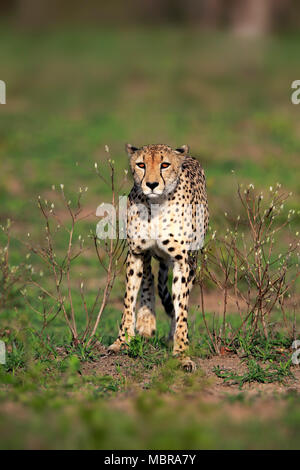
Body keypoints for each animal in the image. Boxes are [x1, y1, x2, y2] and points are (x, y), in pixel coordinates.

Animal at [108, 143, 209, 370]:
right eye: (141, 164)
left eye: (165, 165)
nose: (152, 184)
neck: (156, 205)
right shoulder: (136, 253)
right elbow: (128, 300)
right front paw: (122, 341)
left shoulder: (183, 262)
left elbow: (181, 309)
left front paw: (181, 353)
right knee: (149, 278)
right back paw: (146, 322)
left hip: (193, 261)